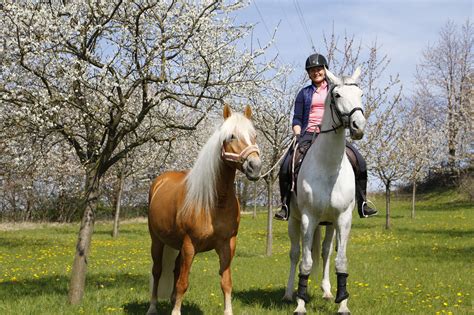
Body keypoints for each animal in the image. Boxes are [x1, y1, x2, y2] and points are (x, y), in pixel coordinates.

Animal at [146, 105, 262, 315]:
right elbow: (183, 283)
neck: (214, 203)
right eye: (231, 136)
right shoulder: (189, 245)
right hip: (157, 241)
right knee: (157, 271)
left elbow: (226, 282)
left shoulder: (227, 244)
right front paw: (175, 312)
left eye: (254, 135)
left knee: (175, 269)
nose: (255, 166)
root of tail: (160, 181)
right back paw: (152, 307)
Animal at [282, 66, 366, 314]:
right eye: (337, 95)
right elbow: (306, 262)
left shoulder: (343, 218)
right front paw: (300, 304)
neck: (328, 166)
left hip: (328, 224)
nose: (359, 127)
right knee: (295, 254)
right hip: (294, 221)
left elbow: (340, 260)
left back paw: (328, 292)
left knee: (326, 251)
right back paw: (289, 293)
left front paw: (342, 303)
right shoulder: (308, 218)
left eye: (361, 95)